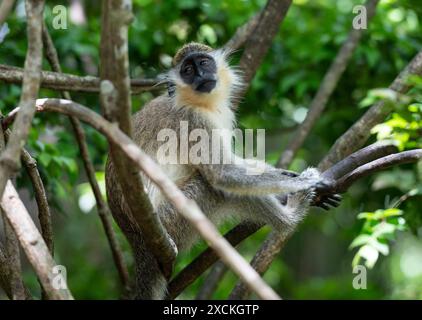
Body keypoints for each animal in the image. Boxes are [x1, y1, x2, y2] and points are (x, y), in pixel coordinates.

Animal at [105, 42, 340, 300]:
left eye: (204, 63)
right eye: (188, 70)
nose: (200, 75)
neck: (199, 103)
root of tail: (138, 242)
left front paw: (287, 180)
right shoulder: (193, 122)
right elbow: (222, 174)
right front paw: (304, 184)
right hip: (174, 220)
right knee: (214, 187)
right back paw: (291, 216)